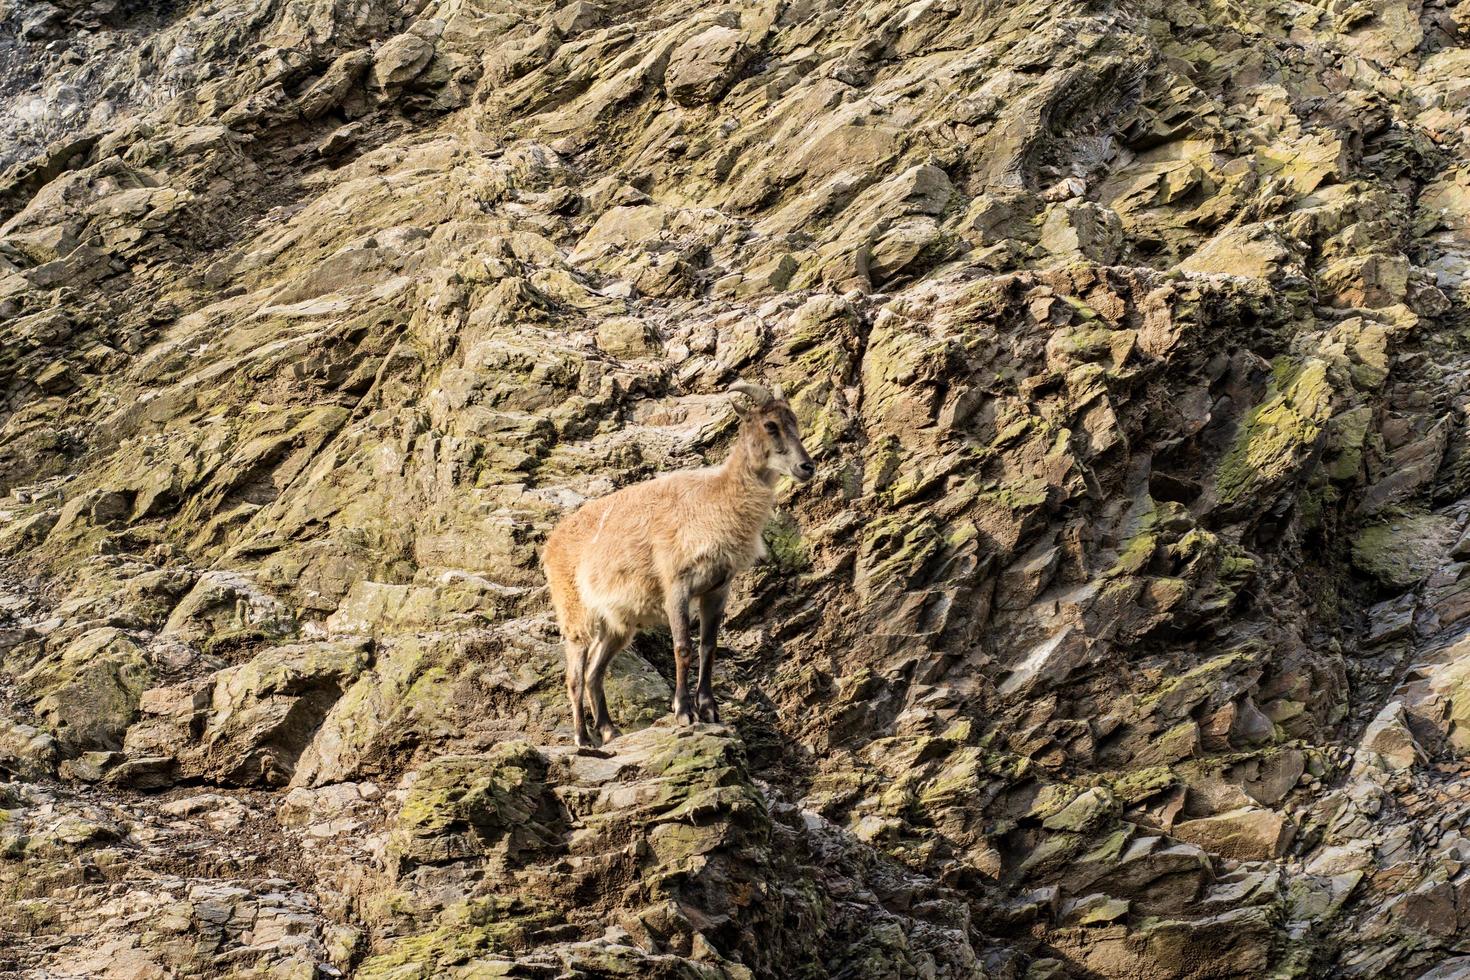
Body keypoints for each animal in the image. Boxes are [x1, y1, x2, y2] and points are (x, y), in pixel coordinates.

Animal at [540, 382, 817, 743]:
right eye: (770, 425)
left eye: (795, 421)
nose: (806, 467)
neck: (715, 501)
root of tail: (549, 547)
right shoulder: (676, 586)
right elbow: (683, 647)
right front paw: (684, 712)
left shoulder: (717, 588)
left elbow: (708, 646)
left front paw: (710, 709)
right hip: (576, 613)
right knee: (574, 674)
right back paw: (583, 738)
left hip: (617, 625)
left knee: (594, 672)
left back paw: (610, 730)